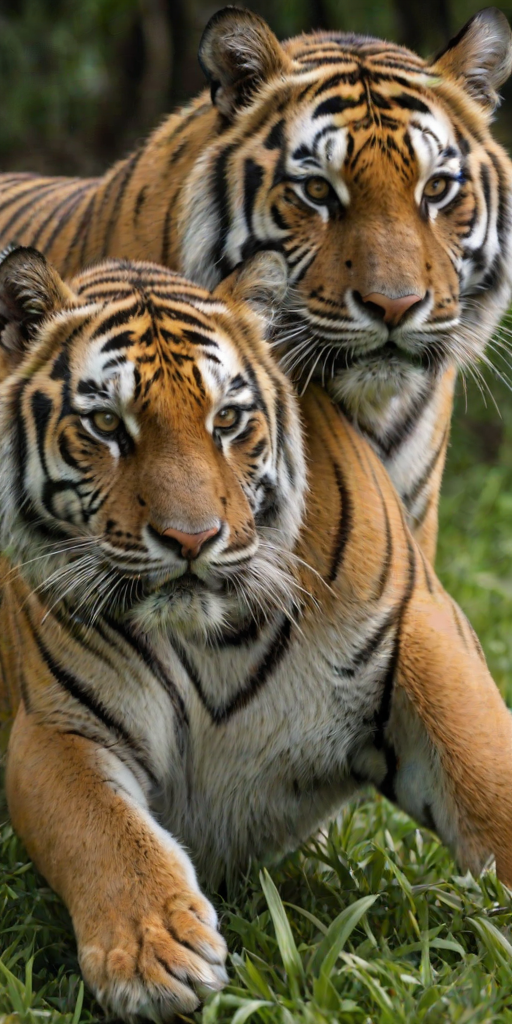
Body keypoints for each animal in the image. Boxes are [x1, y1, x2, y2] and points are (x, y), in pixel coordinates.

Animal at [2, 245, 512, 1022]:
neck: (208, 639)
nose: (191, 539)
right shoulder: (54, 727)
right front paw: (154, 954)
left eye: (228, 419)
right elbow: (99, 829)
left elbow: (487, 777)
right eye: (108, 426)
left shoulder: (418, 629)